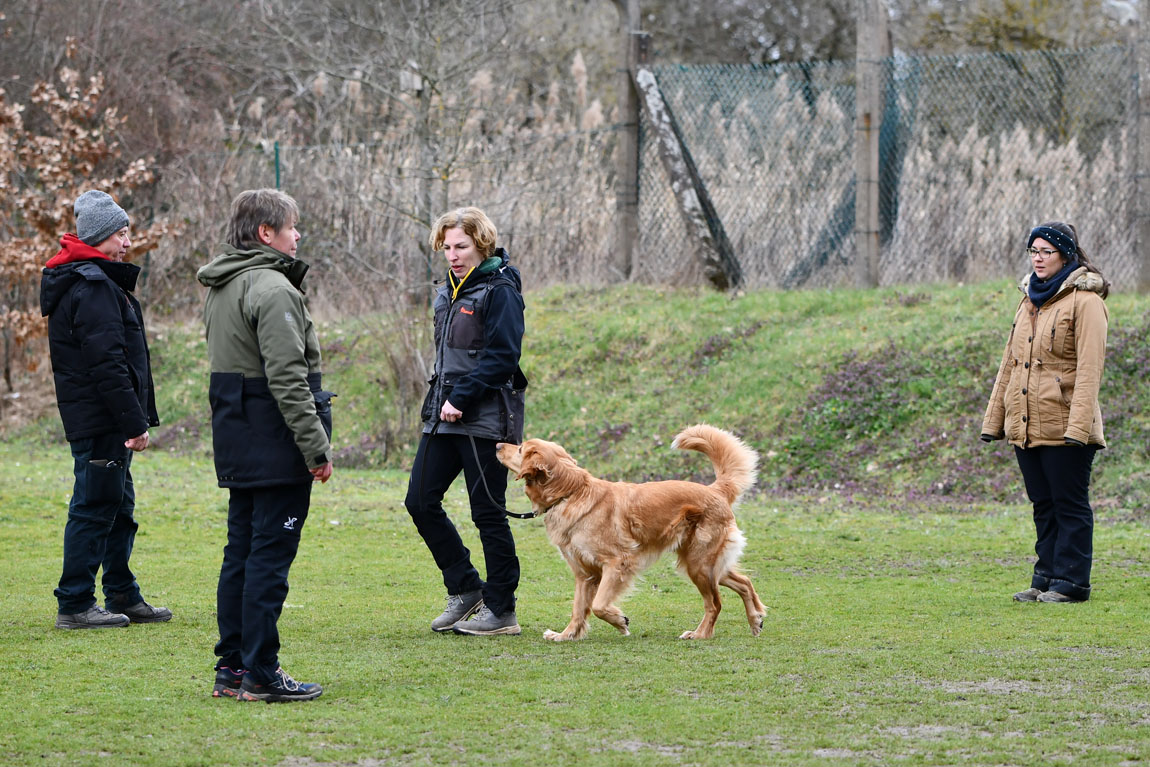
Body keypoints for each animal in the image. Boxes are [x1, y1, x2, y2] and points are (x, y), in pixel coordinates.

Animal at [494, 425, 763, 643]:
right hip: (705, 564)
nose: (496, 445)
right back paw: (756, 619)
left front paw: (620, 621)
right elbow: (578, 609)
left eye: (520, 449)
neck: (571, 492)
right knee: (744, 582)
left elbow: (599, 605)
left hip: (699, 565)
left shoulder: (618, 563)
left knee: (715, 604)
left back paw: (701, 634)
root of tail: (715, 490)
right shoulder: (584, 574)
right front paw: (566, 635)